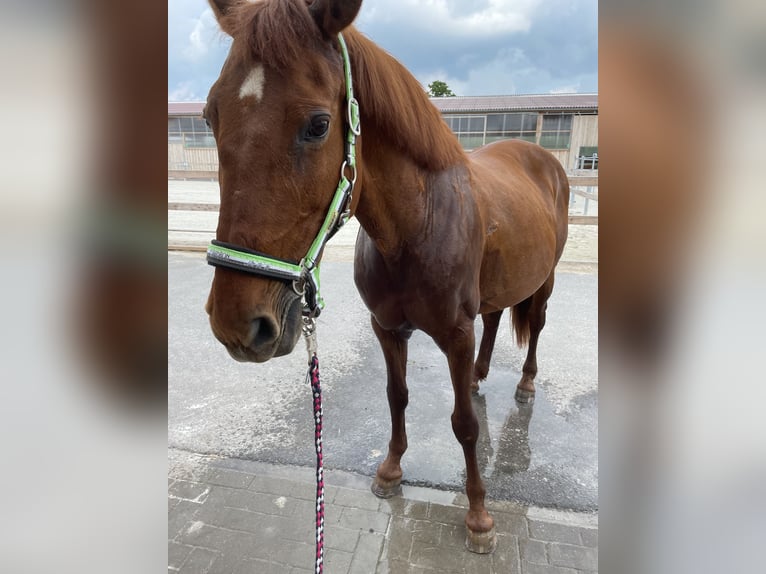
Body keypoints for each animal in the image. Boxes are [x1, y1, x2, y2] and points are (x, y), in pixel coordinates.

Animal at [204, 0, 568, 560]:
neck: (417, 225)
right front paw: (392, 471)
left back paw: (525, 384)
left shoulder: (455, 335)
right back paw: (481, 374)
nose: (237, 324)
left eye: (318, 125)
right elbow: (397, 397)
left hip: (544, 282)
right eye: (210, 115)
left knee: (537, 325)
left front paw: (479, 516)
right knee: (494, 318)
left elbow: (465, 425)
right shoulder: (387, 328)